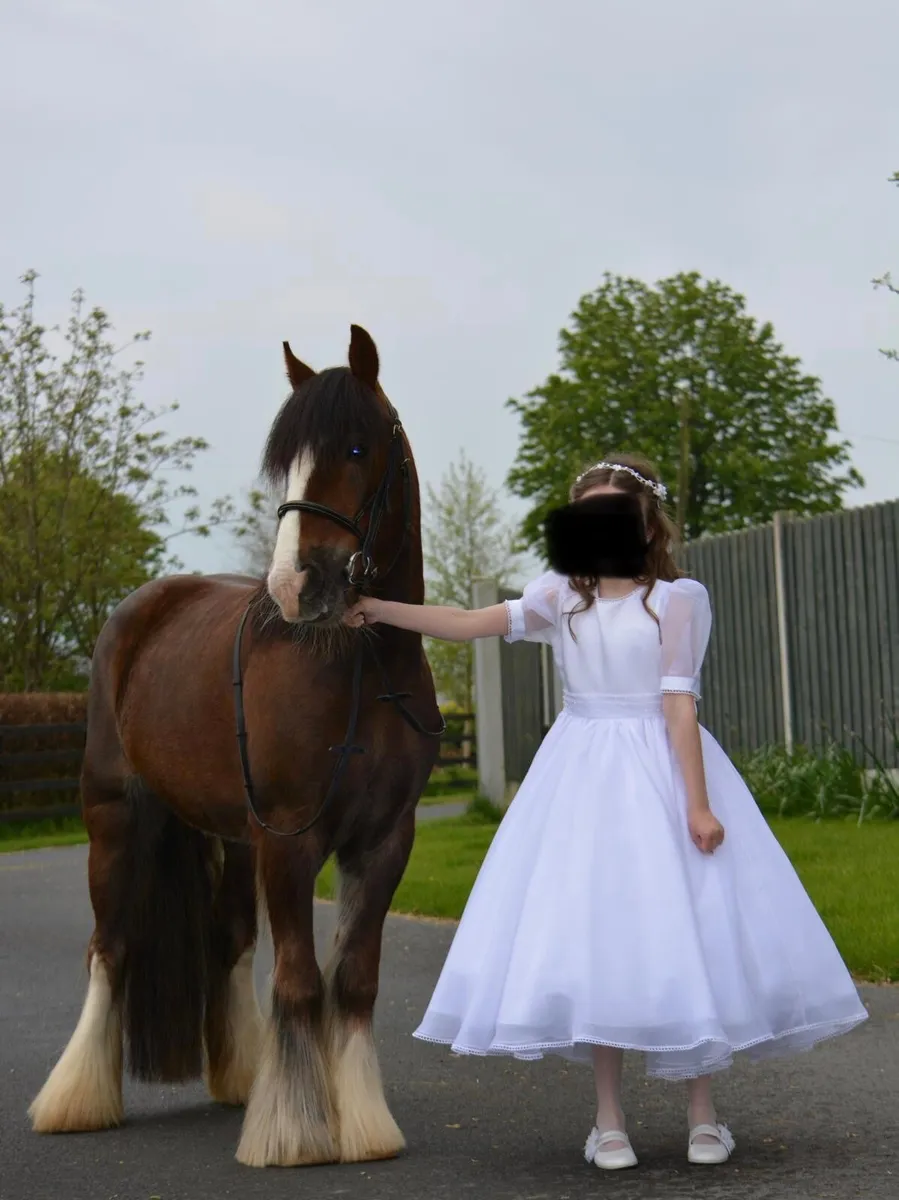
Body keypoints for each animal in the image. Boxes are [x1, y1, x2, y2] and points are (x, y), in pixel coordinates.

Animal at [28, 325, 443, 1167]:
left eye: (356, 447)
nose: (296, 587)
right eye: (285, 461)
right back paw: (77, 1098)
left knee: (227, 944)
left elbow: (353, 980)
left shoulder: (384, 841)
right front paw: (292, 1136)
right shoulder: (289, 837)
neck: (360, 669)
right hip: (114, 821)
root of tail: (143, 609)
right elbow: (300, 980)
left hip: (229, 836)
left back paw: (242, 1078)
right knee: (109, 948)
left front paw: (360, 1124)